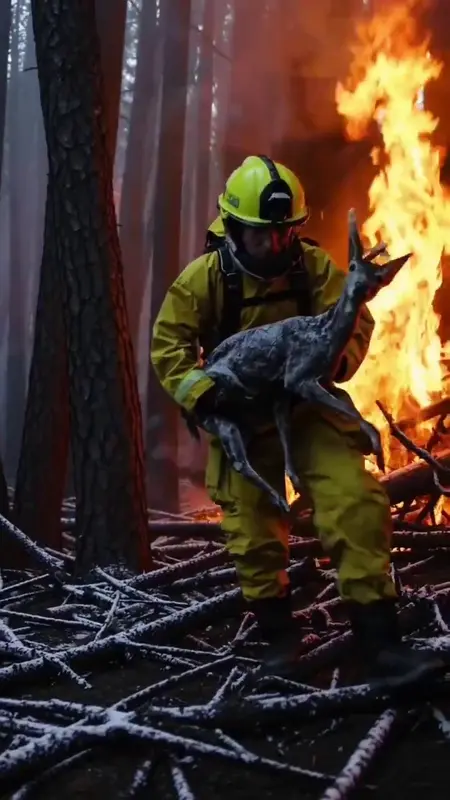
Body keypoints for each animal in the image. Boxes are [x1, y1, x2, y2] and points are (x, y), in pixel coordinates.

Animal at [190, 210, 411, 513]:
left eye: (378, 279)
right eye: (352, 265)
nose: (359, 288)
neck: (323, 336)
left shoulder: (288, 389)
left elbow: (326, 415)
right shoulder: (298, 375)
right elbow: (349, 410)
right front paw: (377, 449)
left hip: (240, 419)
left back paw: (287, 494)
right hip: (217, 412)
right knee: (238, 459)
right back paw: (279, 500)